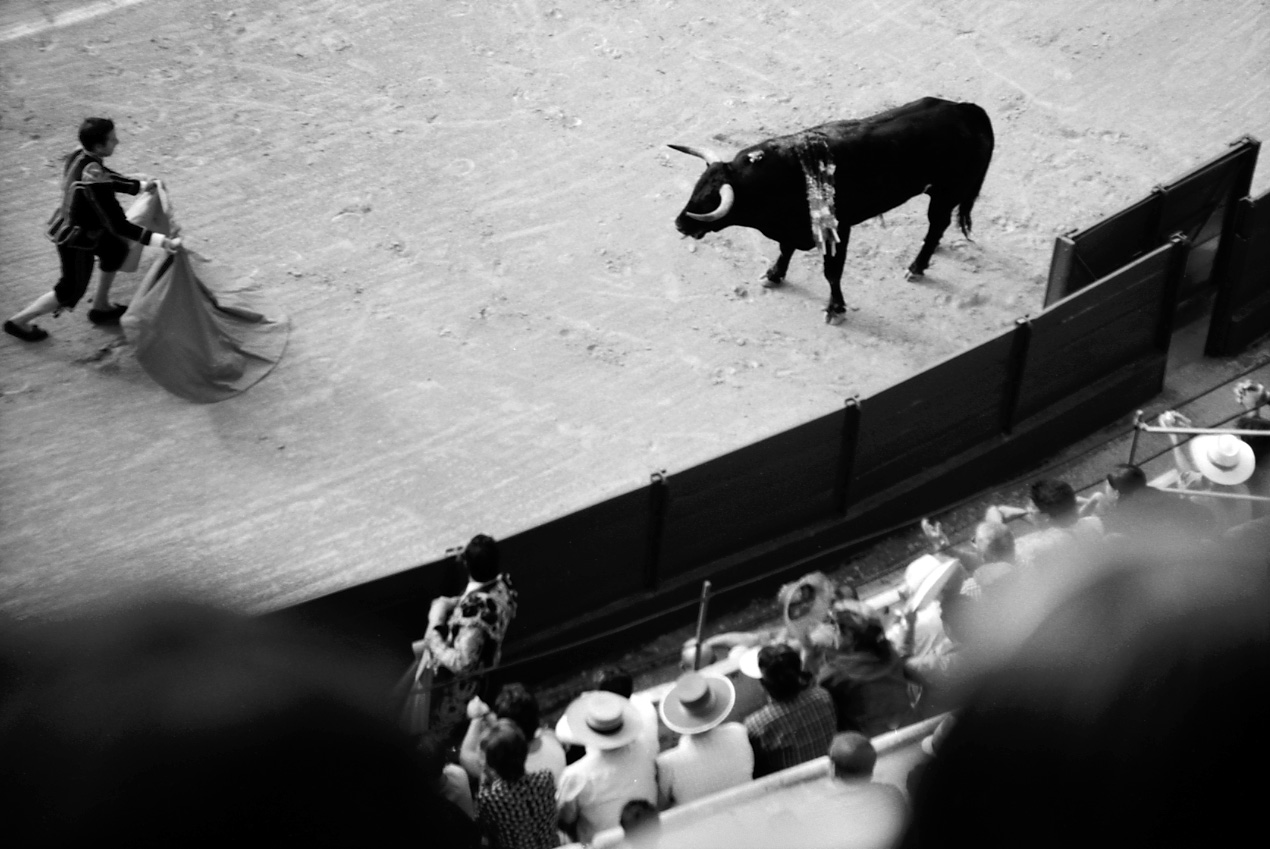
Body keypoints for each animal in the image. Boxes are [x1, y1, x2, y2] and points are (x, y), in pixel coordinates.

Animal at [670, 97, 995, 322]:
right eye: (696, 190)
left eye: (711, 200)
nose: (680, 224)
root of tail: (967, 110)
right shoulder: (792, 229)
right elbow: (785, 250)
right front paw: (773, 275)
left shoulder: (839, 230)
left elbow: (832, 272)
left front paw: (835, 309)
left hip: (945, 192)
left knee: (937, 224)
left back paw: (916, 267)